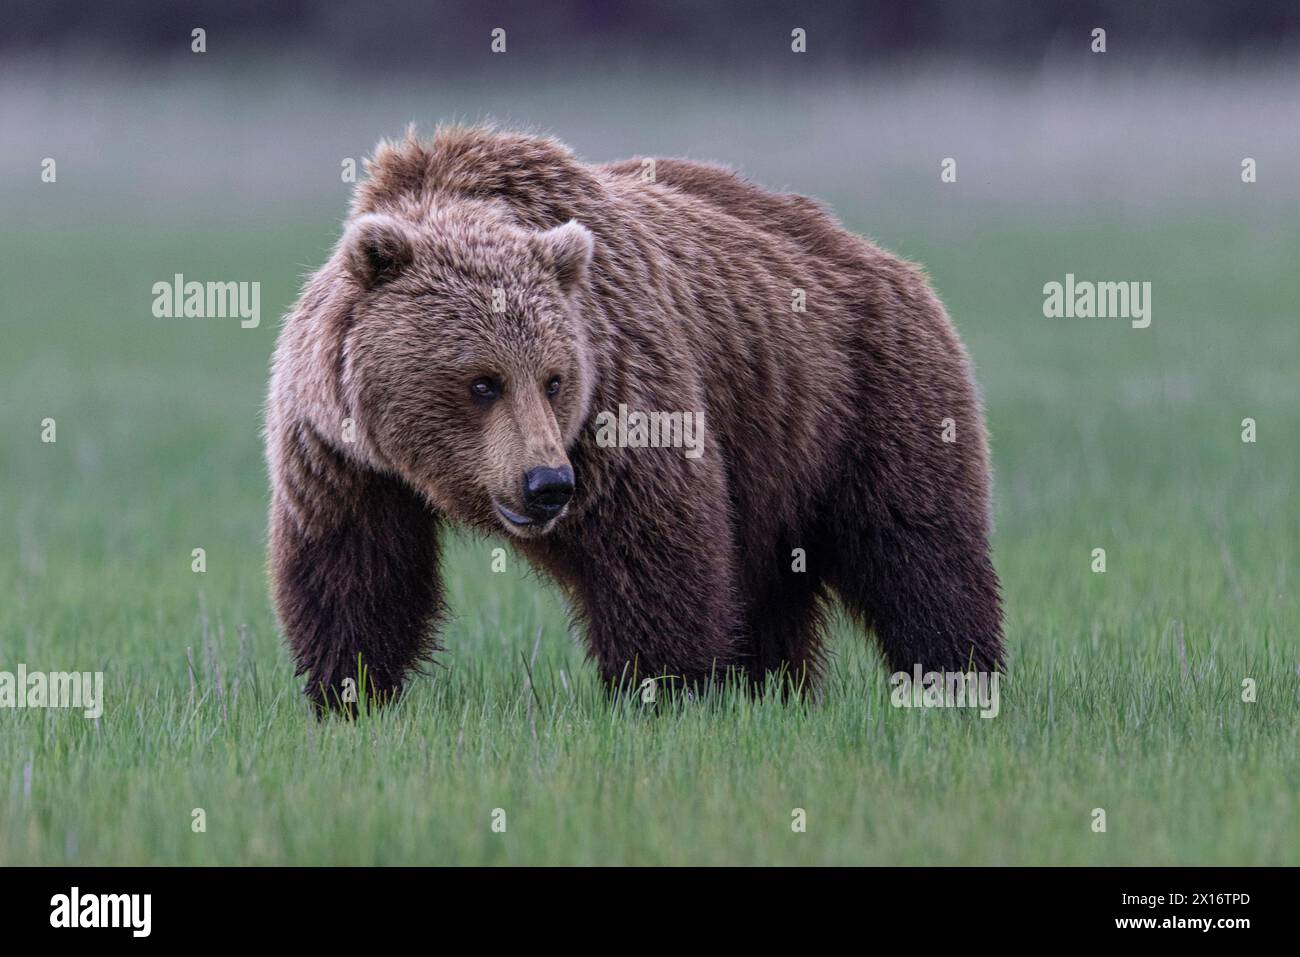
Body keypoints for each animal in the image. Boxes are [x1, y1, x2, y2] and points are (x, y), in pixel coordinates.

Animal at [263, 125, 998, 712]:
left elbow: (654, 549)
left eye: (554, 379)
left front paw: (664, 688)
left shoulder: (621, 402)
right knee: (773, 584)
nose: (546, 484)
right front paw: (347, 692)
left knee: (916, 548)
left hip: (866, 394)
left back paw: (954, 678)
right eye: (482, 381)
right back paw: (774, 687)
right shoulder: (341, 453)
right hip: (778, 454)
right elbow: (355, 569)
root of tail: (884, 258)